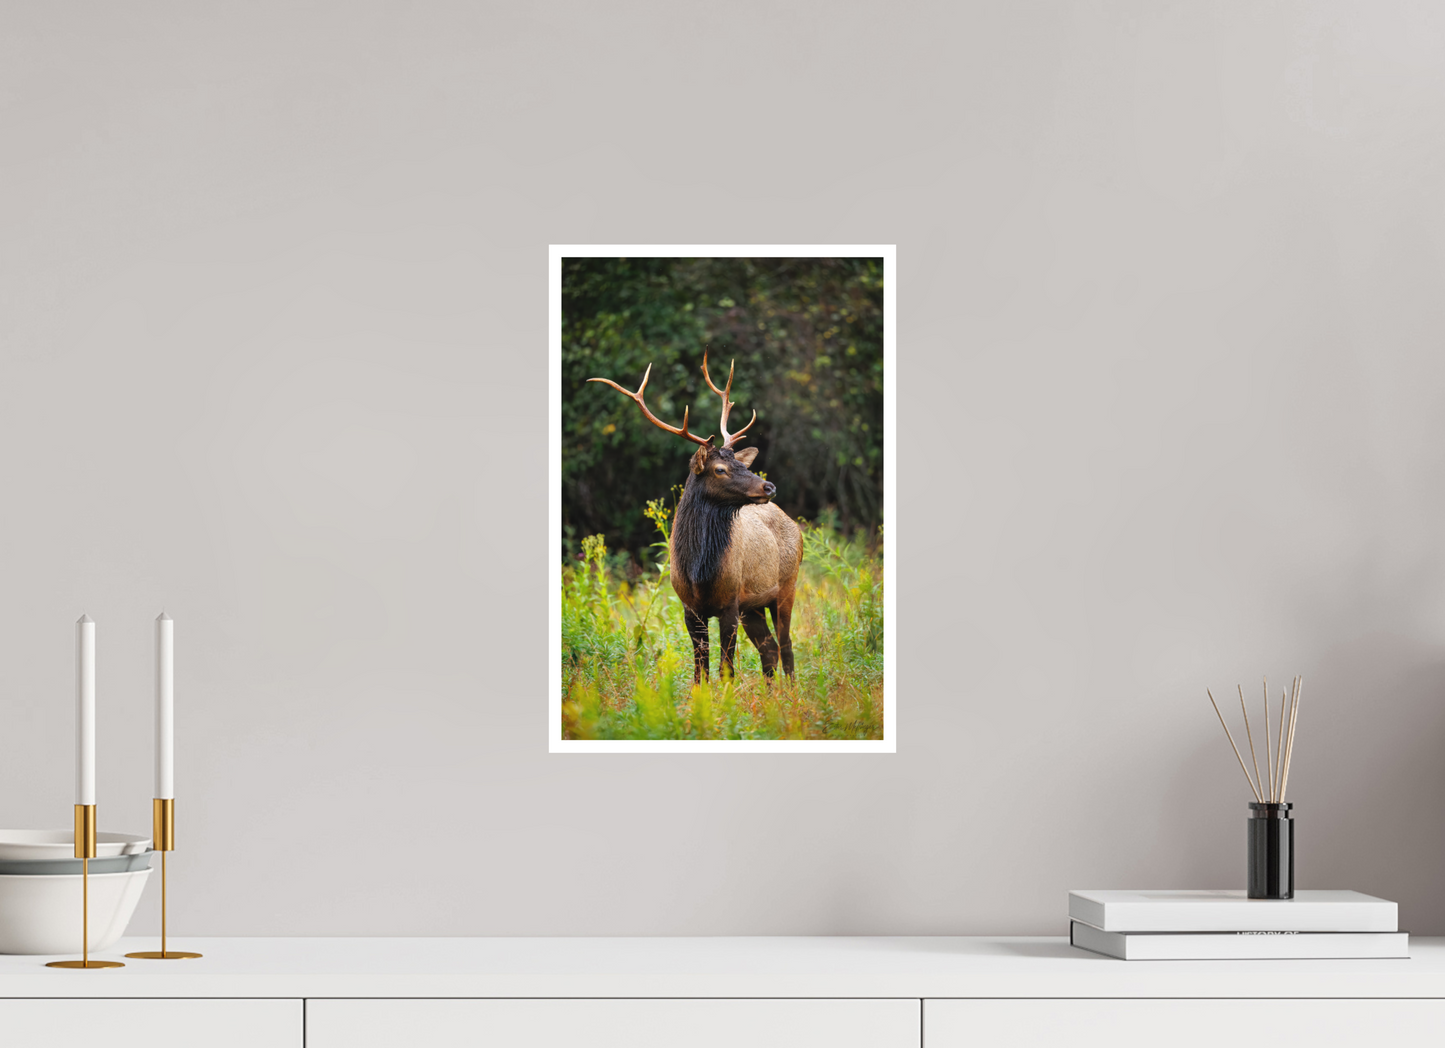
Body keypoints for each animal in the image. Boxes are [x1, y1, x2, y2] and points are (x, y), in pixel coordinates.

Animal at [589, 351, 803, 683]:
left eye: (741, 464)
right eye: (720, 469)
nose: (769, 486)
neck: (699, 572)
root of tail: (796, 526)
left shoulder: (730, 603)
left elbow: (726, 670)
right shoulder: (691, 608)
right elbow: (700, 671)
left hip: (787, 586)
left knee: (787, 647)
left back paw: (791, 695)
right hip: (753, 606)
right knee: (770, 649)